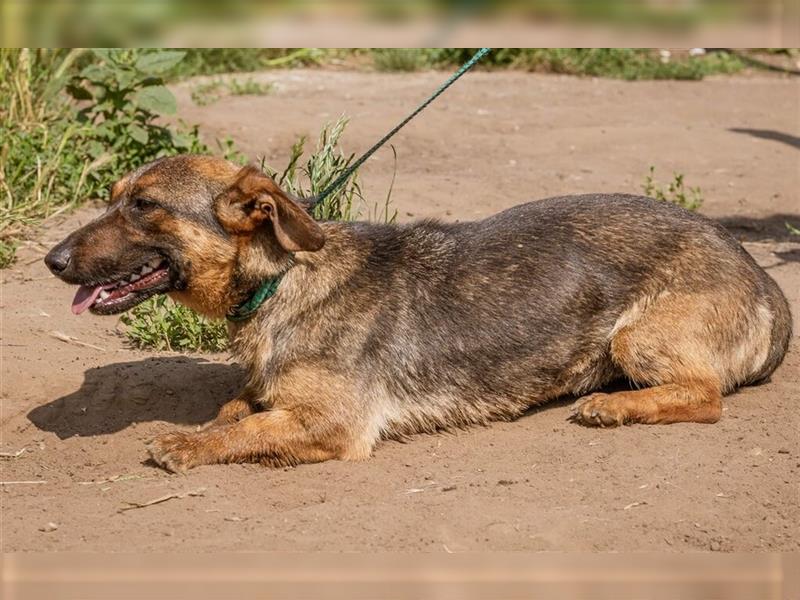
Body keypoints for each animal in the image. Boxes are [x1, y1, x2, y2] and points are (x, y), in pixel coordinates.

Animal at [47, 156, 792, 474]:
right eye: (112, 197)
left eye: (144, 207)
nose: (51, 259)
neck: (284, 279)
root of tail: (761, 274)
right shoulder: (273, 391)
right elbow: (238, 408)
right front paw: (212, 422)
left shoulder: (334, 423)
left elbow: (247, 428)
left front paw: (187, 444)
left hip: (638, 335)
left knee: (704, 396)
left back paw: (617, 406)